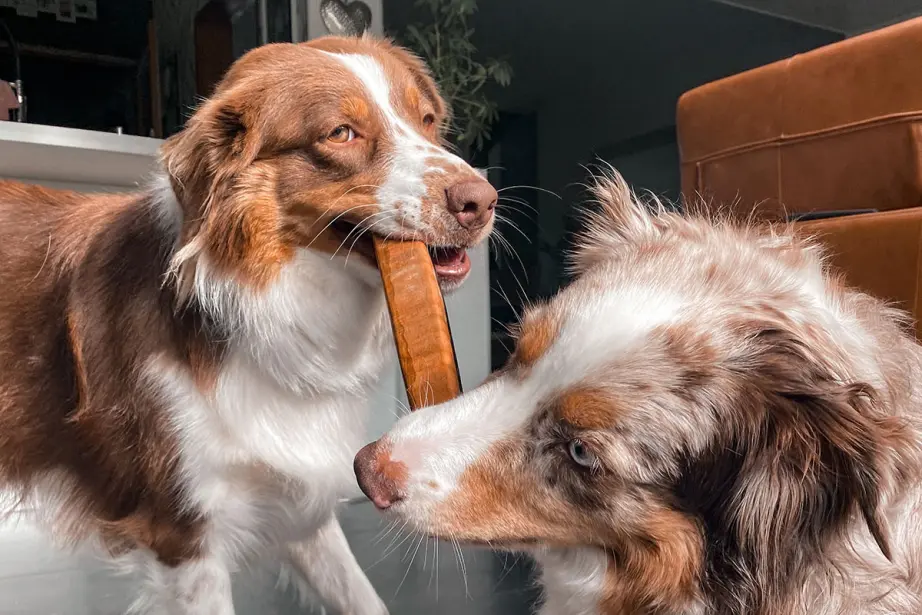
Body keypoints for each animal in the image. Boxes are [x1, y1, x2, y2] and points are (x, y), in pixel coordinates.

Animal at [0, 37, 496, 615]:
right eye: (341, 133)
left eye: (428, 121)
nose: (483, 201)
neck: (269, 304)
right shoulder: (183, 536)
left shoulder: (297, 491)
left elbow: (360, 596)